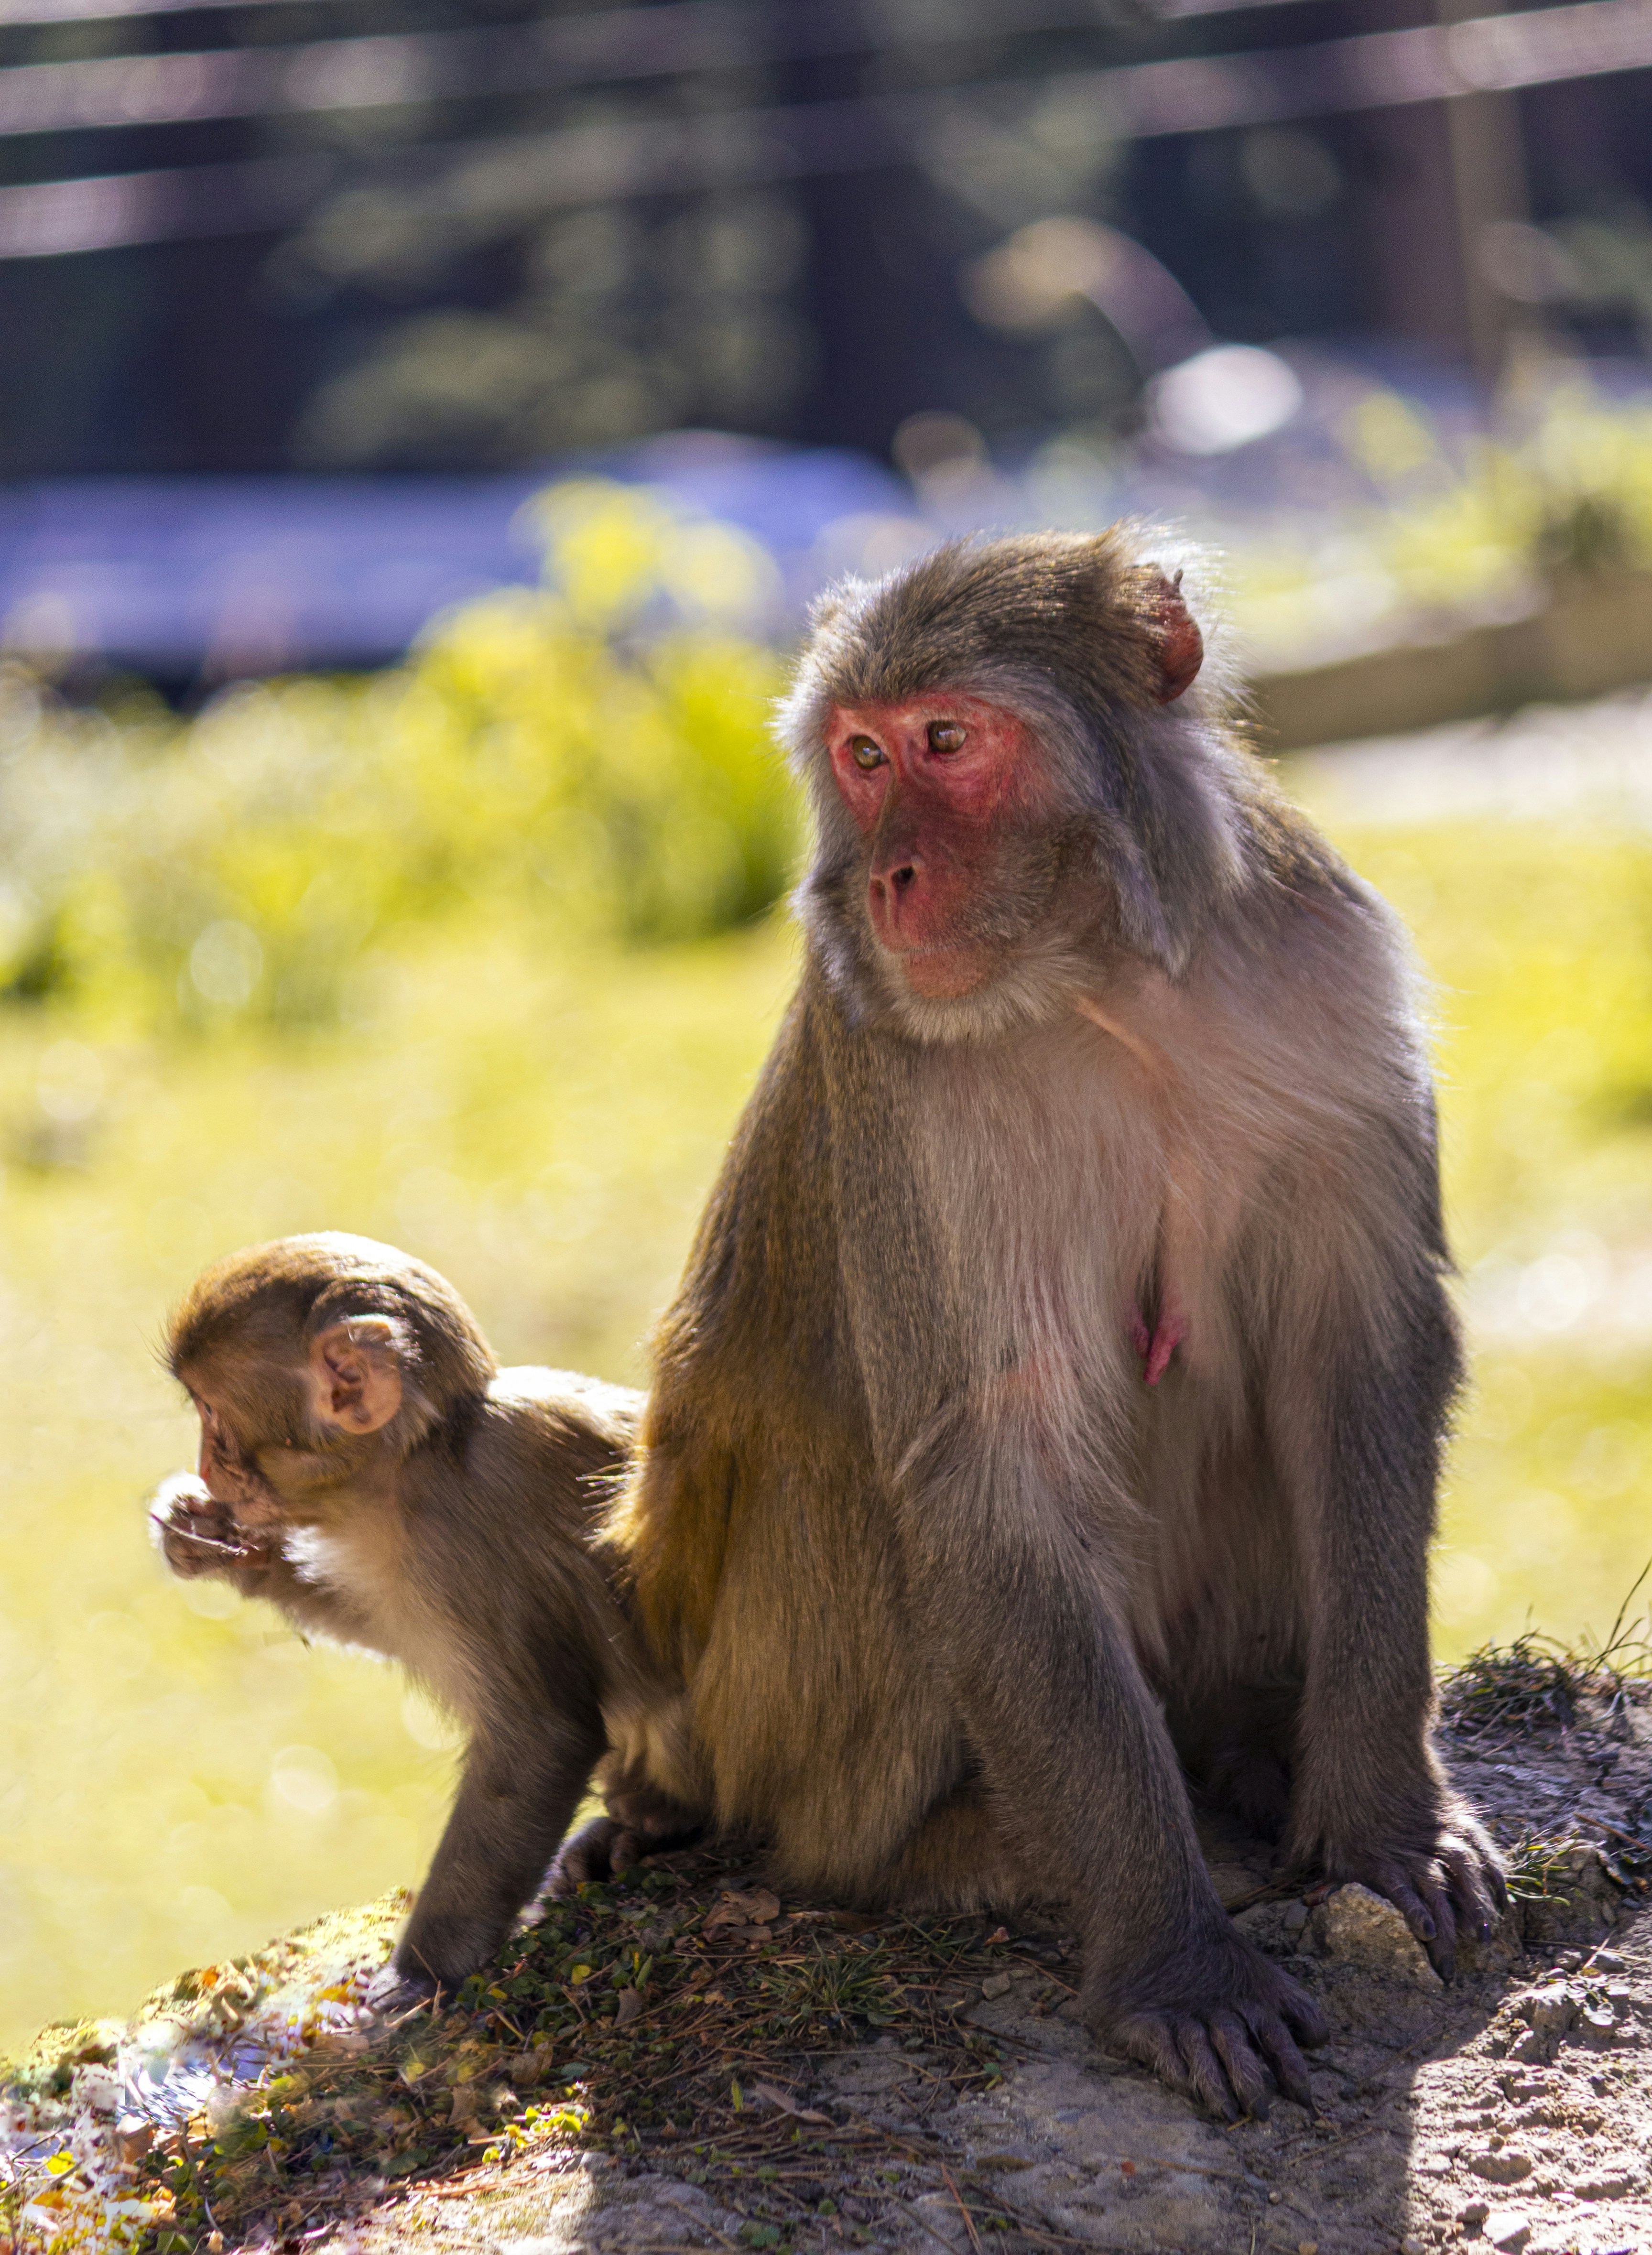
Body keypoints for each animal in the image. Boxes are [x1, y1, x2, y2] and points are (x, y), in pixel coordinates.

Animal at [150, 1233, 703, 2003]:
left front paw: (419, 1974)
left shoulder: (461, 1538)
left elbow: (542, 1738)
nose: (206, 1466)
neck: (422, 1455)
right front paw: (216, 1542)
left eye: (213, 1417)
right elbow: (384, 1615)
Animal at [604, 530, 1506, 2120]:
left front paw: (1383, 1813)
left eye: (946, 743)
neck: (1110, 982)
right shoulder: (902, 1086)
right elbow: (990, 1465)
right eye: (861, 756)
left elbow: (1359, 1348)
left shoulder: (1329, 963)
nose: (889, 876)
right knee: (873, 1492)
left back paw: (1247, 1748)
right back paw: (968, 1850)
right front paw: (1176, 1961)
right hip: (768, 1726)